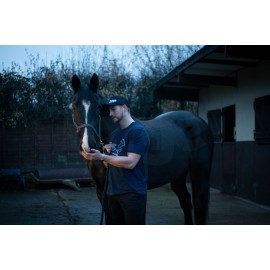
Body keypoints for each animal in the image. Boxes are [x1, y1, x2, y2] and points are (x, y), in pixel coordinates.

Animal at [70, 72, 214, 224]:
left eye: (97, 107)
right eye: (74, 107)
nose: (88, 145)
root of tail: (199, 121)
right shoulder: (101, 190)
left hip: (200, 174)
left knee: (199, 207)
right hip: (178, 175)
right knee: (186, 202)